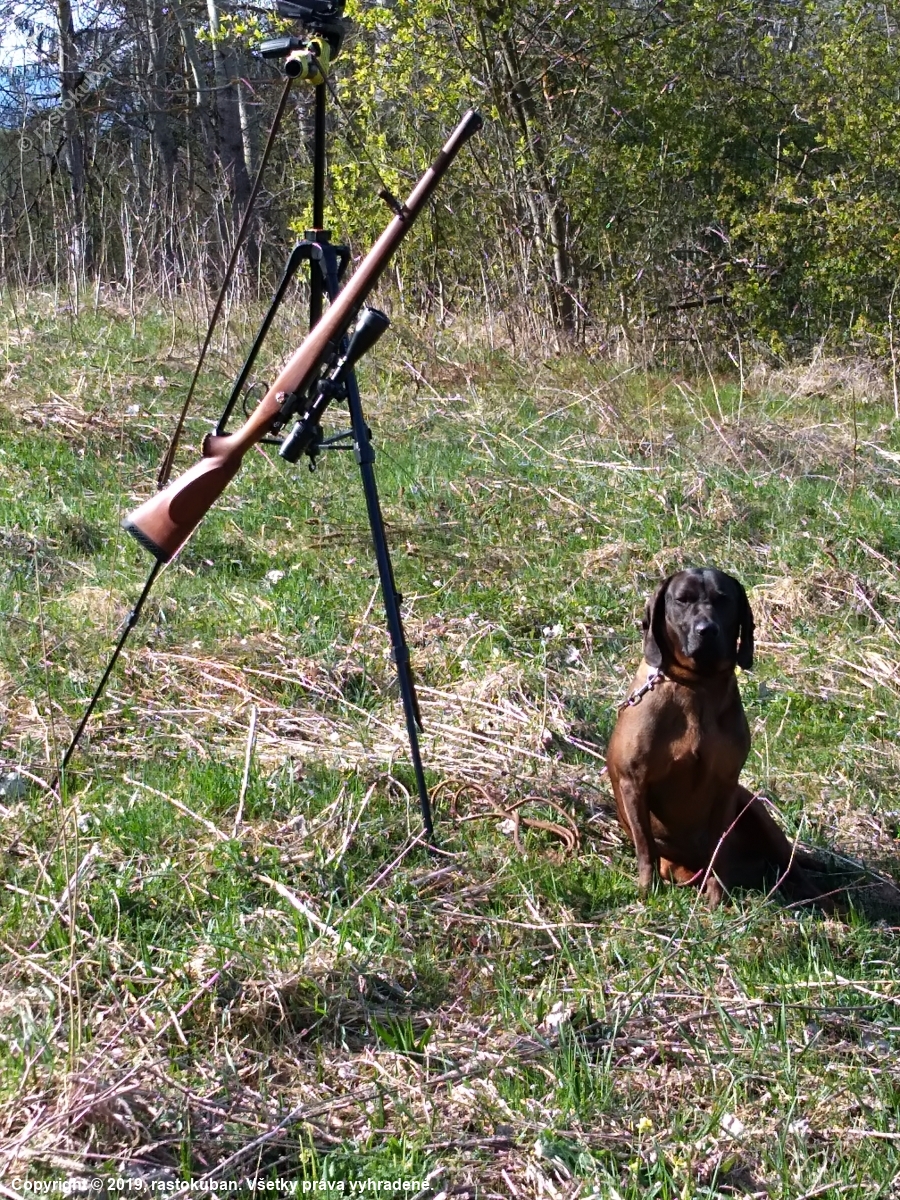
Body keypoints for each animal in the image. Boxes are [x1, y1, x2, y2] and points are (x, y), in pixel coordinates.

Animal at [606, 567, 819, 907]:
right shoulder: (633, 781)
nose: (706, 630)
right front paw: (646, 889)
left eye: (723, 599)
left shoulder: (725, 784)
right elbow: (646, 847)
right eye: (682, 599)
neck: (697, 685)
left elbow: (717, 849)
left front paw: (717, 897)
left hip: (755, 809)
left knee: (792, 867)